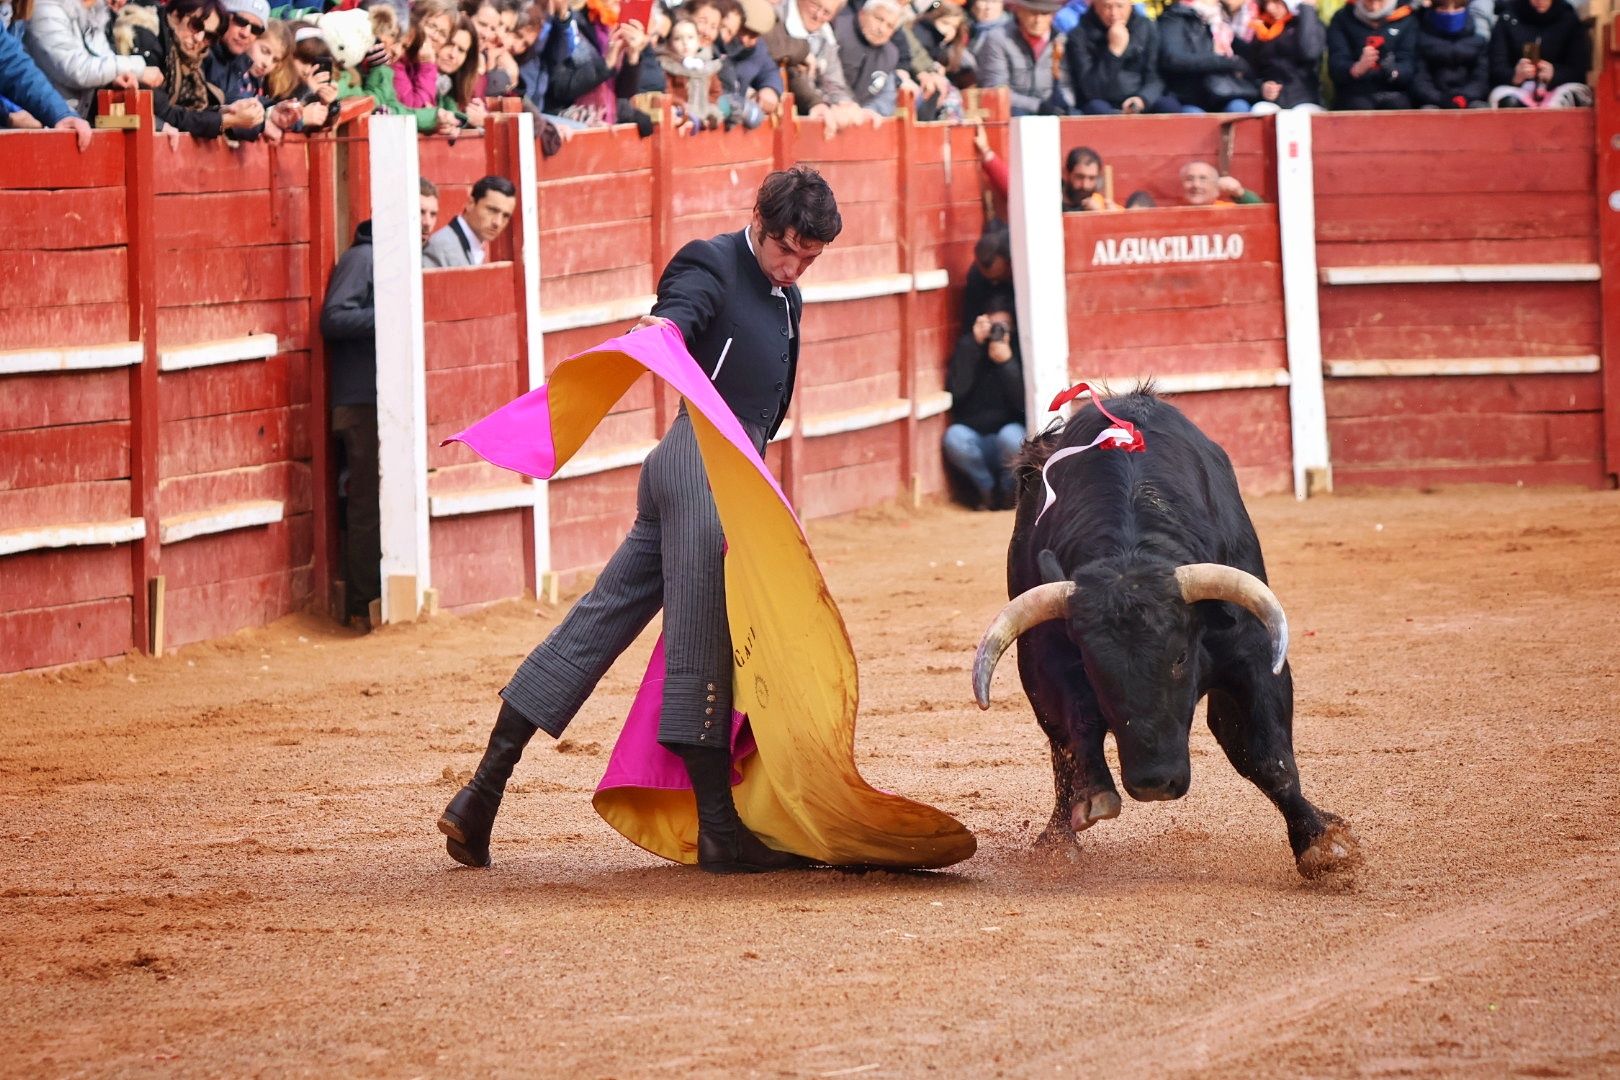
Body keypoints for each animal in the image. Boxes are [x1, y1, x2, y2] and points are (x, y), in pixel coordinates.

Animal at [965, 388, 1360, 880]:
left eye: (1179, 658)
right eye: (1096, 669)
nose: (1154, 782)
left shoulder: (1252, 654)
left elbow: (1266, 754)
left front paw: (1322, 842)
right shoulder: (1047, 658)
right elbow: (1076, 727)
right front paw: (1090, 800)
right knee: (1061, 746)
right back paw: (1058, 841)